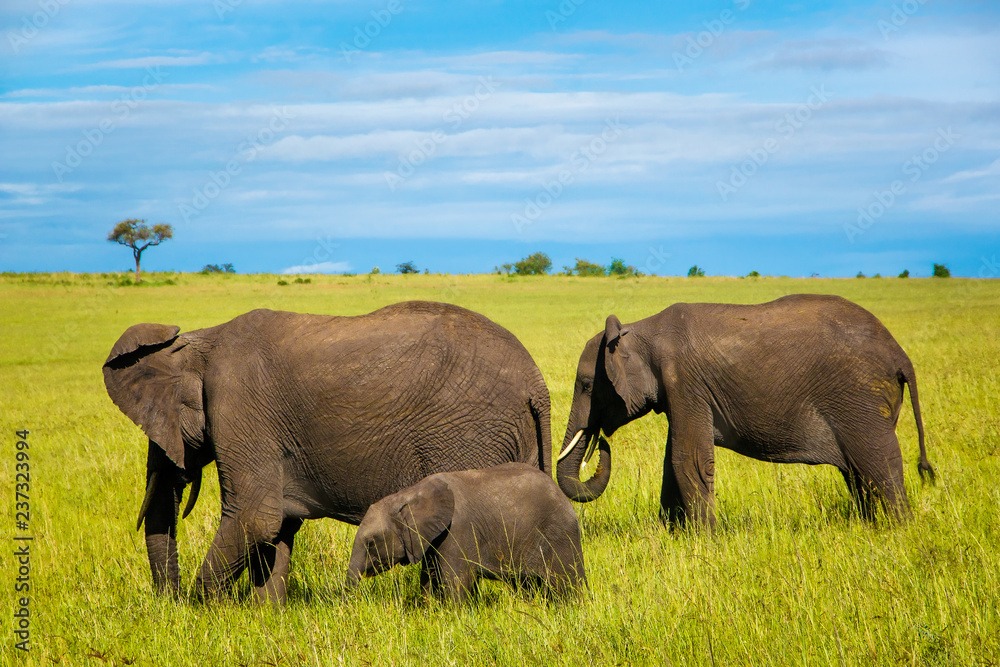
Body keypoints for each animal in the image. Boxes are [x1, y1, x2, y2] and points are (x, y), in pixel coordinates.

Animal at [103, 301, 552, 604]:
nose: (169, 603)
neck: (198, 344)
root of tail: (537, 384)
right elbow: (277, 526)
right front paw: (266, 616)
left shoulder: (237, 403)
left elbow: (255, 517)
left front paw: (198, 613)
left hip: (469, 435)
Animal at [345, 463, 587, 602]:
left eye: (371, 542)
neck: (408, 494)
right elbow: (429, 577)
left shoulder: (457, 529)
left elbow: (455, 579)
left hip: (559, 533)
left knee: (568, 582)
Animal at [555, 294, 935, 527]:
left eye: (587, 385)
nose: (601, 445)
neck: (640, 329)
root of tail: (900, 355)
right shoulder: (680, 391)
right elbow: (673, 457)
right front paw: (672, 533)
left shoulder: (685, 381)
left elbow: (687, 458)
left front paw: (703, 541)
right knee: (857, 473)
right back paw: (869, 525)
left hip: (861, 398)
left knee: (877, 462)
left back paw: (898, 528)